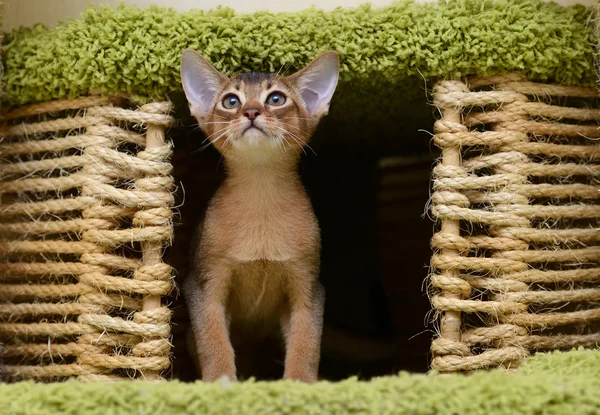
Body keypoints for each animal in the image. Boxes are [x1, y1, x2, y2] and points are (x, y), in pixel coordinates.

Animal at [178, 48, 340, 384]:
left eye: (276, 98)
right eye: (231, 101)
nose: (251, 112)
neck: (261, 193)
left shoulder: (307, 286)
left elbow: (306, 342)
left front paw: (300, 381)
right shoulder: (204, 284)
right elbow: (212, 338)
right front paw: (221, 379)